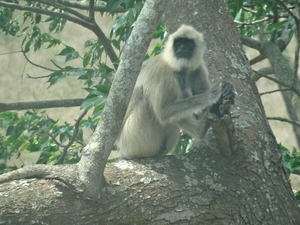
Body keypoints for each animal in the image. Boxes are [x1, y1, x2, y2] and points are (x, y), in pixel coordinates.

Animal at [116, 24, 236, 159]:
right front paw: (215, 93)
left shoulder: (198, 68)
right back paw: (200, 129)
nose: (182, 47)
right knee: (152, 103)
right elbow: (165, 110)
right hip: (133, 138)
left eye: (187, 43)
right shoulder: (161, 71)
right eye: (178, 43)